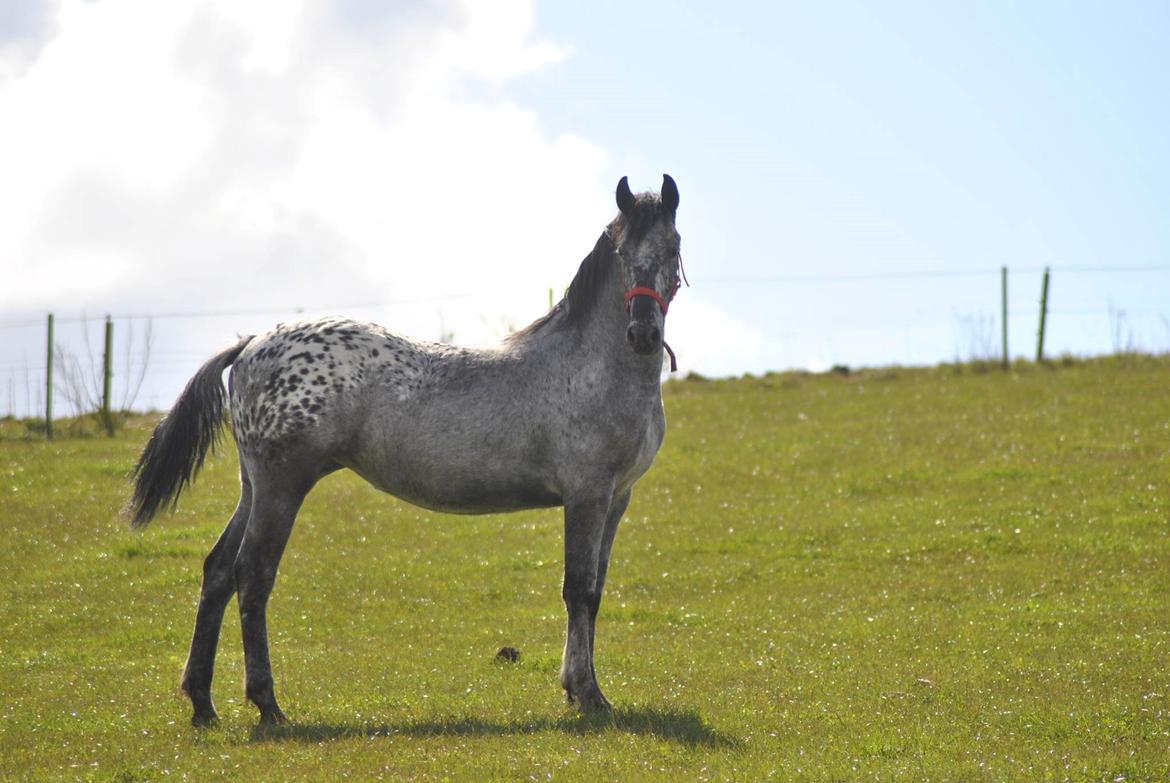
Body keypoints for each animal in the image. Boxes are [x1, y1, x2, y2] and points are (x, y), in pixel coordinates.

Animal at [128, 174, 683, 725]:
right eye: (621, 251)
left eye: (672, 248)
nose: (642, 333)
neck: (589, 368)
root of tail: (250, 344)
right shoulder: (586, 495)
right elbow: (579, 588)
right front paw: (589, 694)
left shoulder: (616, 498)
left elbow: (596, 591)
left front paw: (575, 687)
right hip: (282, 487)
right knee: (253, 575)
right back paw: (267, 704)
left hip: (254, 489)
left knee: (219, 572)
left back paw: (203, 703)